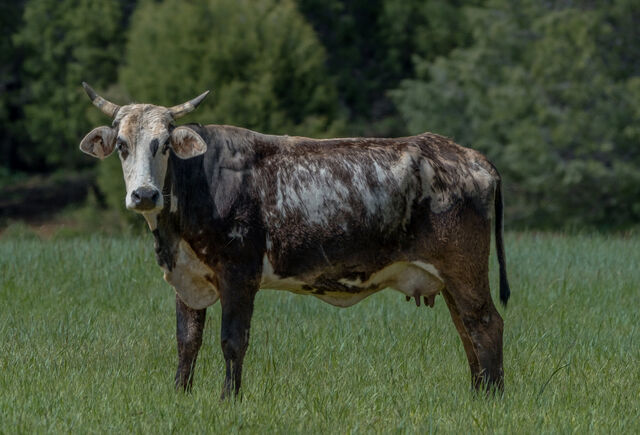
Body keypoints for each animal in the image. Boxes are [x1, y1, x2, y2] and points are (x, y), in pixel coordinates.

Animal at [79, 82, 511, 398]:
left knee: (486, 324)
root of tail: (469, 157)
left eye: (165, 145)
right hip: (450, 279)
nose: (144, 195)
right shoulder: (188, 279)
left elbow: (232, 340)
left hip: (465, 270)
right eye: (122, 146)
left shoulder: (240, 274)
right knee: (466, 330)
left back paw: (491, 398)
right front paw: (180, 396)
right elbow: (187, 341)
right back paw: (477, 393)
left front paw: (228, 398)